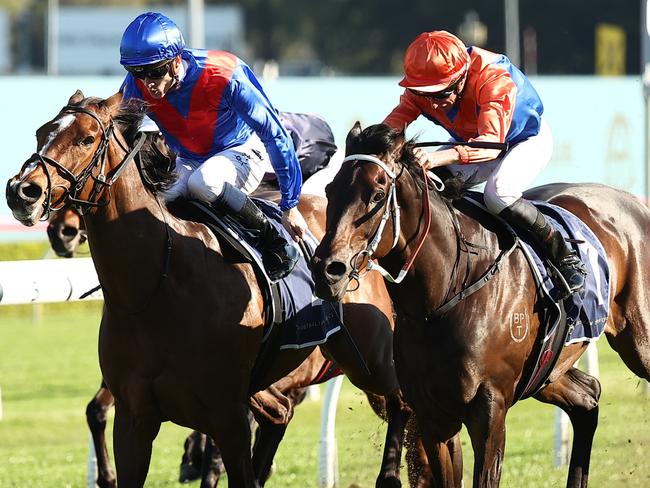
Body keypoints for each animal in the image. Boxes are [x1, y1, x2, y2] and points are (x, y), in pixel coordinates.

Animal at [5, 92, 418, 488]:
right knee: (281, 414)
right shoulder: (135, 418)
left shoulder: (227, 413)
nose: (23, 191)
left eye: (87, 138)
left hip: (369, 360)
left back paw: (390, 475)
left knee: (402, 403)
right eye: (42, 133)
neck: (156, 287)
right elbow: (103, 417)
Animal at [312, 125, 648, 488]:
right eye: (330, 189)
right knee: (588, 397)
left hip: (637, 342)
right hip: (548, 370)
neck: (442, 297)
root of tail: (634, 201)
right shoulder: (434, 417)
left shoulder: (489, 412)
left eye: (376, 194)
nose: (327, 270)